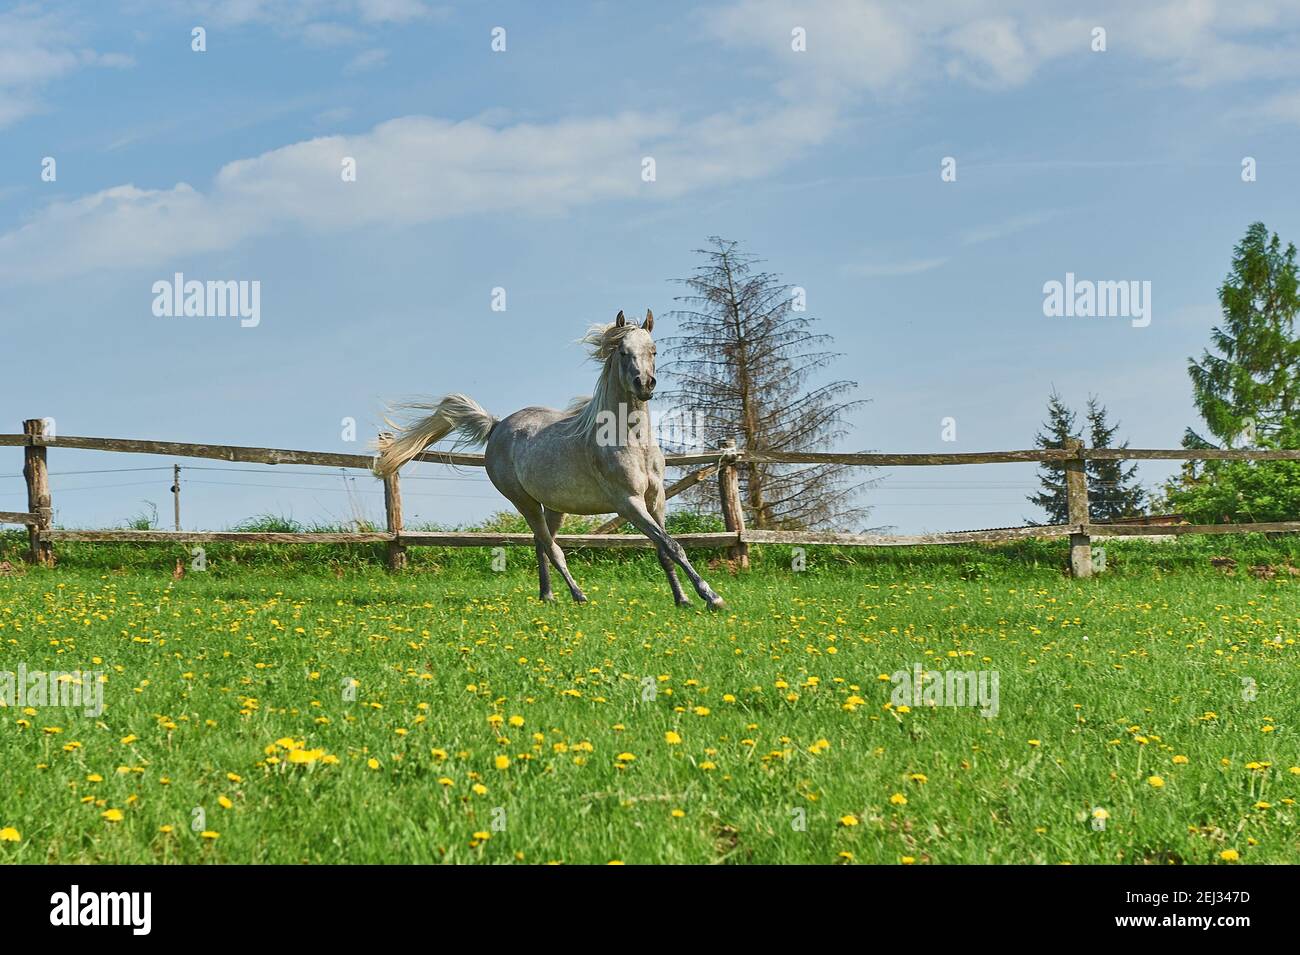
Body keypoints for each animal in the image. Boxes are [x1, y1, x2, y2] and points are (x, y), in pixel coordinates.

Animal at [374, 309, 725, 610]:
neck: (631, 442)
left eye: (653, 350)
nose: (644, 385)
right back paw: (578, 595)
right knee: (552, 548)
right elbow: (672, 545)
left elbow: (666, 548)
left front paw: (683, 600)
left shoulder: (656, 498)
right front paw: (712, 597)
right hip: (523, 501)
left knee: (540, 543)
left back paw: (548, 595)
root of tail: (497, 426)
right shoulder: (628, 502)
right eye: (623, 352)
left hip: (554, 506)